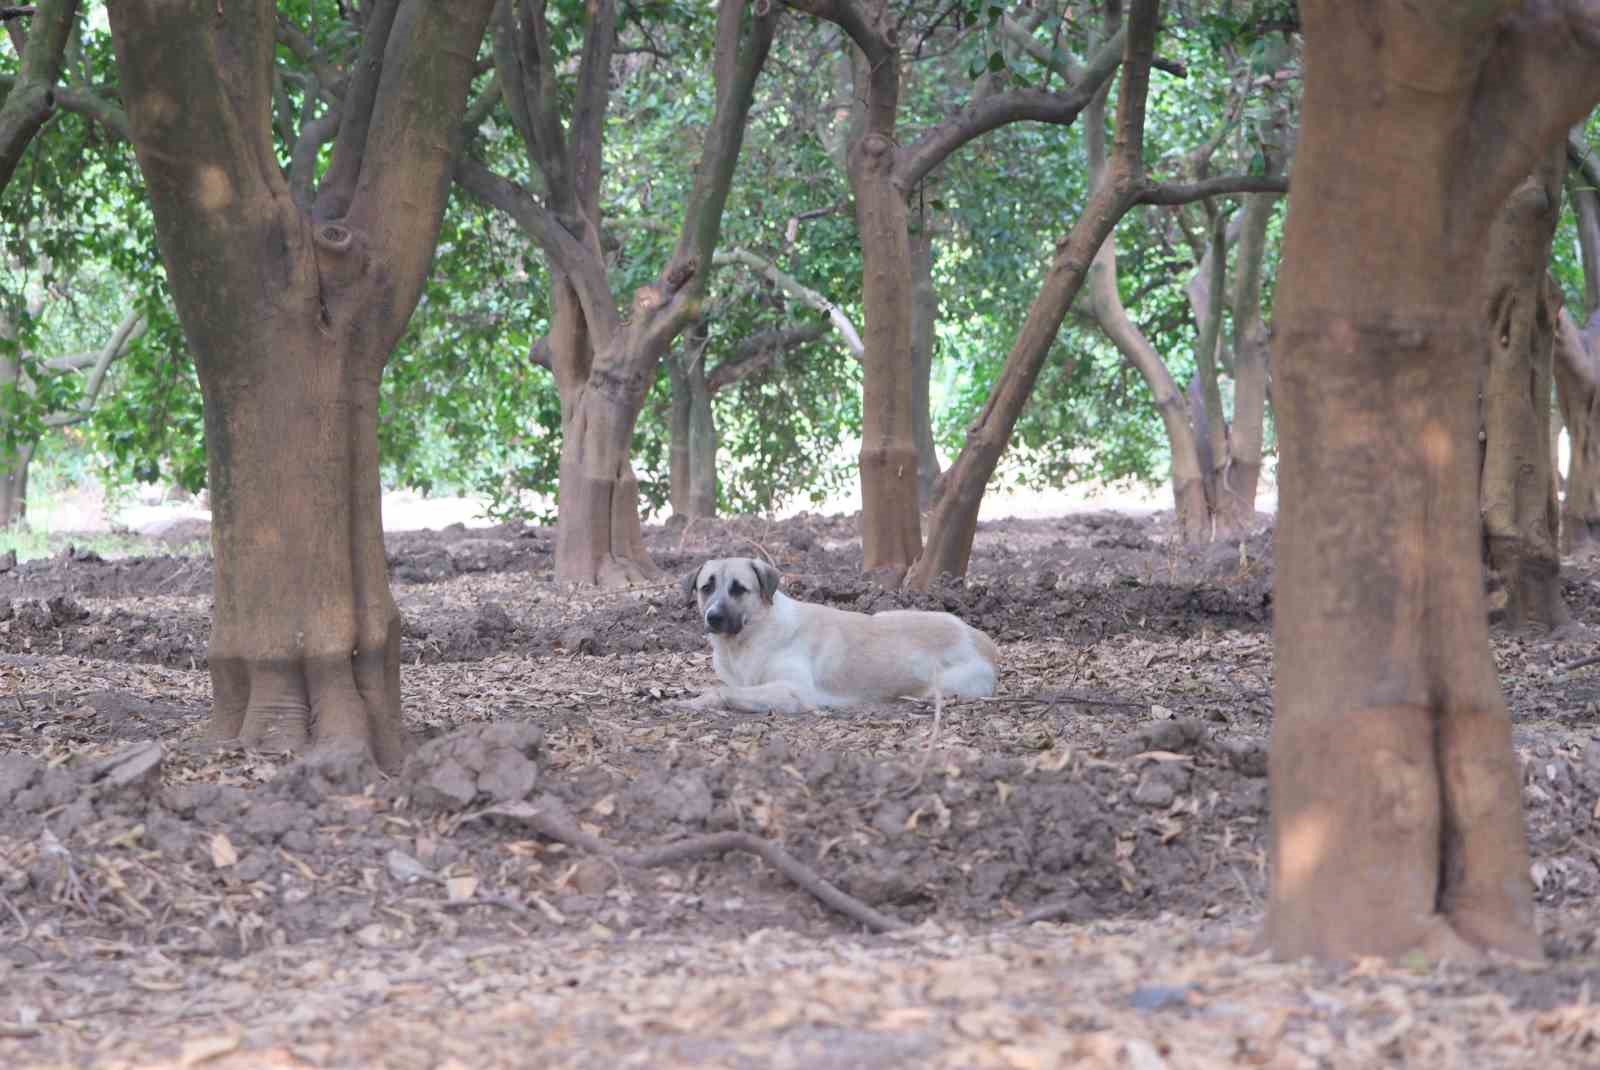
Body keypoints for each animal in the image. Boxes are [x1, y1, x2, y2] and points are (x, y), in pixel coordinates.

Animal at [678, 556, 998, 713]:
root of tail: (980, 638)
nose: (713, 618)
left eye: (739, 589)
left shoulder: (794, 691)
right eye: (706, 587)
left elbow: (722, 691)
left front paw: (695, 701)